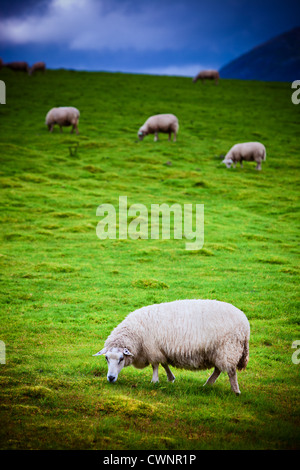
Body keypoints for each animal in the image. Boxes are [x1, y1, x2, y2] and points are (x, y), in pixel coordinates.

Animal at [92, 300, 250, 394]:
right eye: (106, 358)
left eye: (121, 359)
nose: (110, 378)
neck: (136, 334)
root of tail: (245, 323)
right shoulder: (160, 349)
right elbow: (164, 363)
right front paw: (170, 378)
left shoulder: (152, 349)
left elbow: (155, 365)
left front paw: (155, 381)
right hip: (218, 351)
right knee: (218, 369)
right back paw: (208, 384)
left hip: (228, 348)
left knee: (230, 371)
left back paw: (235, 391)